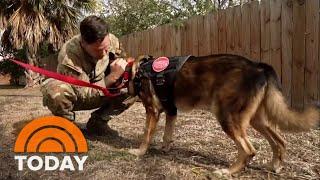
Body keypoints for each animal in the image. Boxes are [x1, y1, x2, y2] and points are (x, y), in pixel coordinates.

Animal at [126, 54, 318, 175]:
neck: (137, 70)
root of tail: (258, 67)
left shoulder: (152, 111)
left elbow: (147, 134)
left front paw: (140, 152)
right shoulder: (171, 111)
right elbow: (167, 134)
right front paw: (165, 148)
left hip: (227, 116)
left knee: (249, 150)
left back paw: (228, 171)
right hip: (256, 120)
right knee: (280, 141)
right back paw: (274, 166)